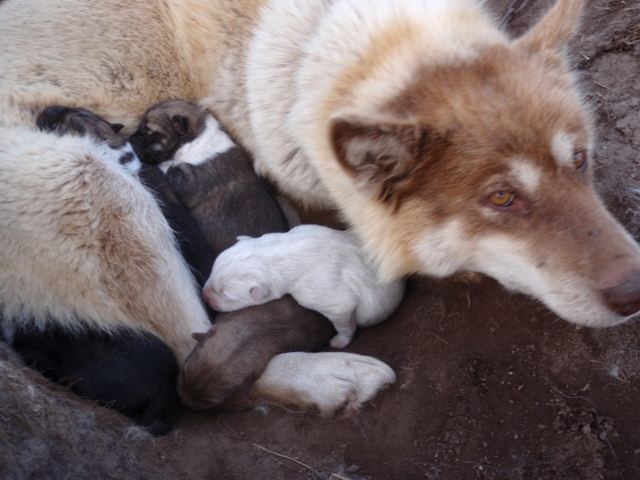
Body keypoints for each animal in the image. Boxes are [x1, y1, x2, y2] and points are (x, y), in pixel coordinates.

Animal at [204, 225, 404, 348]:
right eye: (211, 271)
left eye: (224, 294)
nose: (204, 297)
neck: (276, 254)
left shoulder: (323, 296)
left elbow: (343, 320)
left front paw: (339, 341)